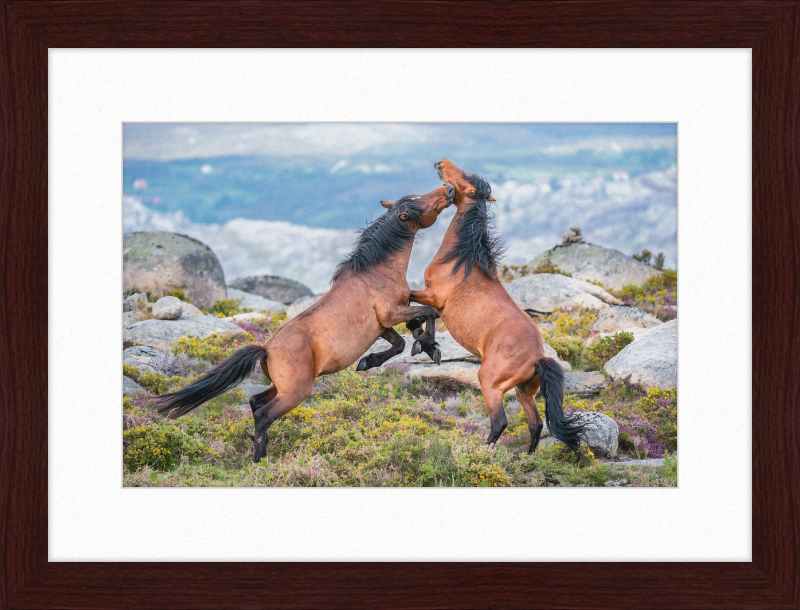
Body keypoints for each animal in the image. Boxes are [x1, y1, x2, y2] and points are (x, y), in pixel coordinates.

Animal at [152, 183, 454, 458]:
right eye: (421, 203)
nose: (448, 189)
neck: (376, 272)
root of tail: (266, 349)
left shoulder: (381, 325)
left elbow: (401, 341)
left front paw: (372, 361)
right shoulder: (391, 313)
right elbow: (427, 314)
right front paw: (430, 347)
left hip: (279, 387)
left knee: (254, 402)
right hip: (295, 392)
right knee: (263, 414)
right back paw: (260, 460)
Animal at [410, 159, 584, 454]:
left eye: (463, 177)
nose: (441, 163)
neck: (462, 261)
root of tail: (537, 358)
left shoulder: (432, 296)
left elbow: (412, 306)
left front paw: (425, 345)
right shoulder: (435, 304)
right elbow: (423, 317)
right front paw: (424, 345)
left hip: (490, 383)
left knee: (500, 422)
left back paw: (481, 452)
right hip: (524, 391)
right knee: (536, 423)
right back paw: (527, 457)